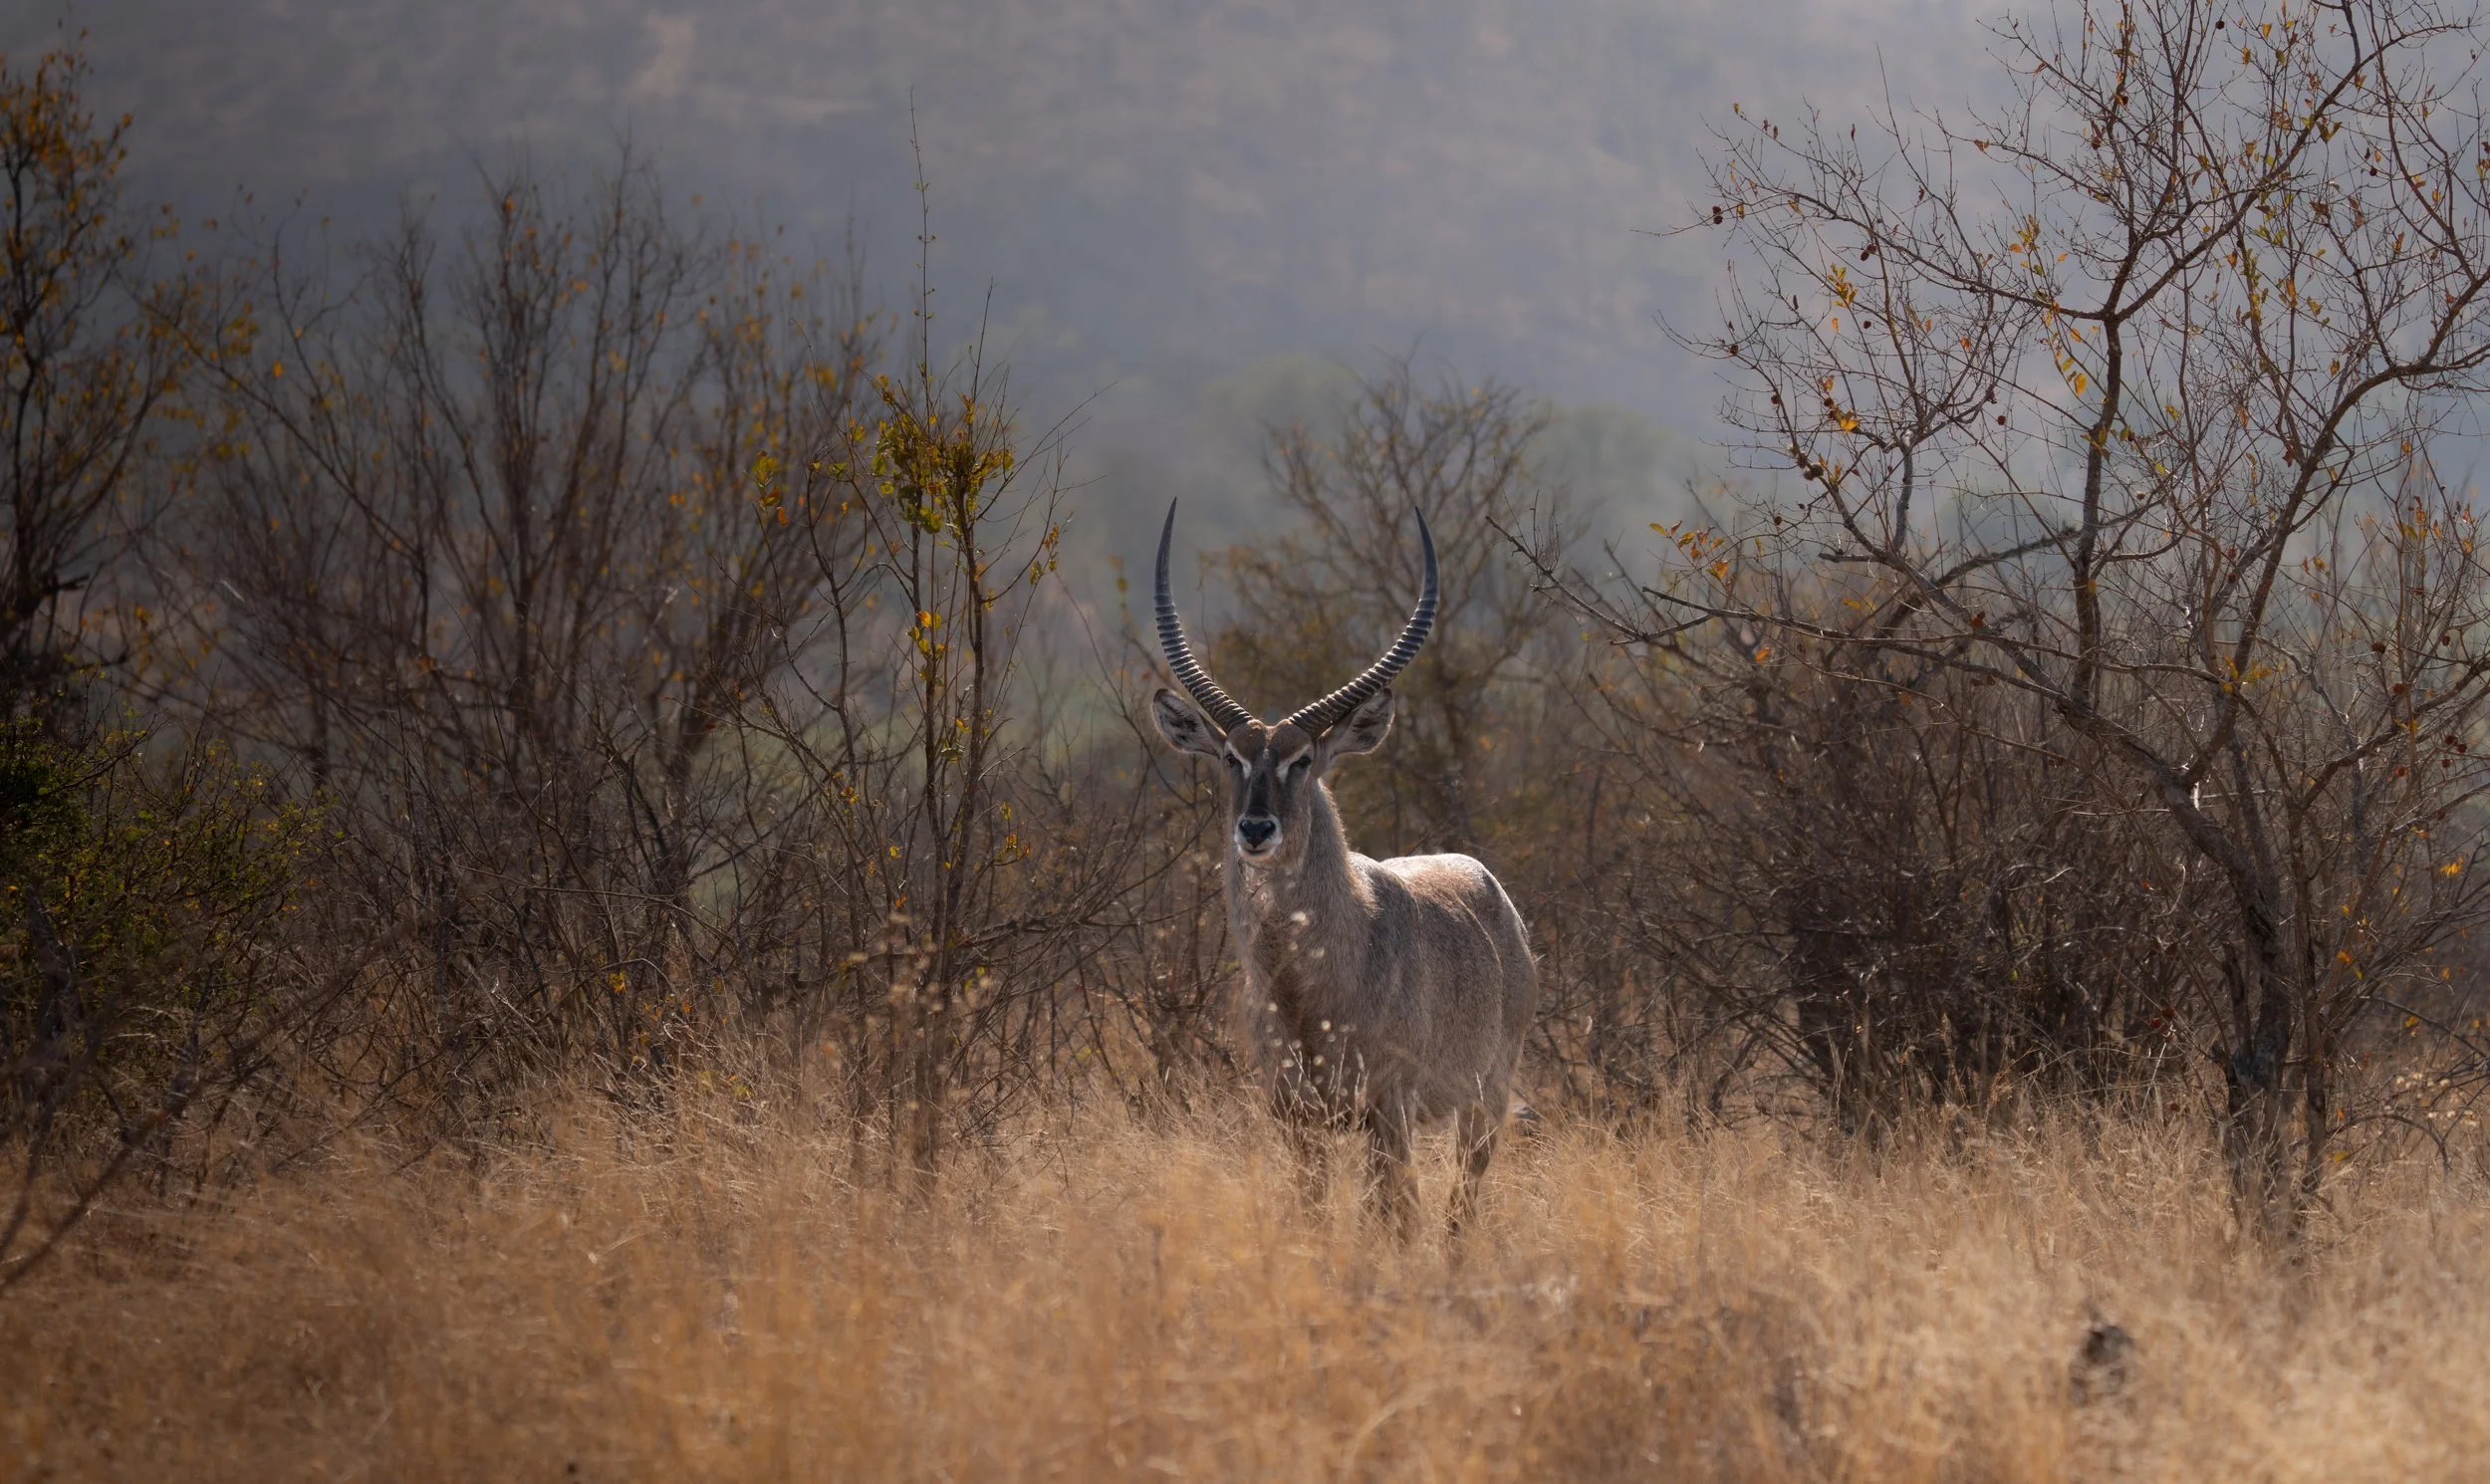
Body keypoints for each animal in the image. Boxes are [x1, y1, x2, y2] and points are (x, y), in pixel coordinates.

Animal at [1148, 499, 1539, 1239]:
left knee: (1455, 1210)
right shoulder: (1296, 1119)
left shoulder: (1388, 1110)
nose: (1256, 829)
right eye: (1232, 758)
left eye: (1303, 759)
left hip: (1482, 1105)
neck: (1307, 987)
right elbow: (1313, 1216)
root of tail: (1492, 891)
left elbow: (1397, 1221)